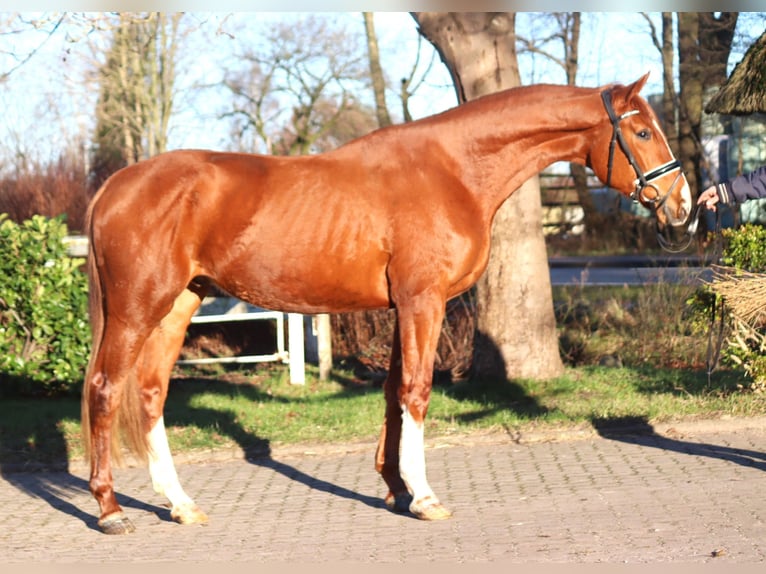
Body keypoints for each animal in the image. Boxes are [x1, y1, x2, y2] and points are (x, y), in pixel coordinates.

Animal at [82, 74, 696, 536]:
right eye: (642, 130)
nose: (683, 204)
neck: (453, 169)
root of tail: (116, 185)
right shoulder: (424, 301)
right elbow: (417, 390)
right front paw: (424, 497)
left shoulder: (403, 307)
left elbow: (392, 391)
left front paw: (396, 488)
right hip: (138, 309)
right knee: (106, 390)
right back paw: (110, 509)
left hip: (179, 306)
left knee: (151, 393)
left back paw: (180, 504)